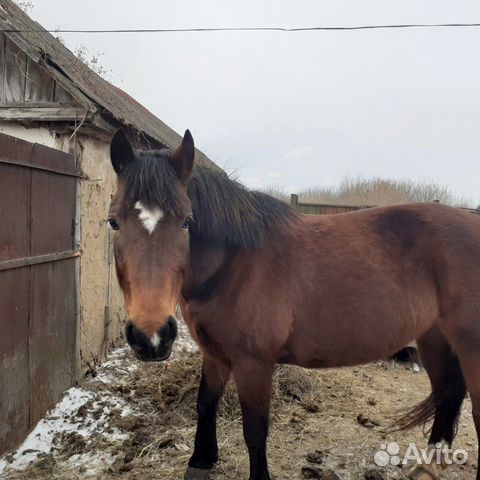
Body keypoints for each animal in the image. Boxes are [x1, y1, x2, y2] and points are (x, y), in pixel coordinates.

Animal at [108, 128, 480, 480]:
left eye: (187, 221)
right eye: (113, 221)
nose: (151, 335)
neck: (235, 265)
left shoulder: (254, 364)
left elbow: (255, 431)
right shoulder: (215, 353)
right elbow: (205, 403)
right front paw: (201, 461)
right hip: (434, 339)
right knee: (447, 392)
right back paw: (429, 464)